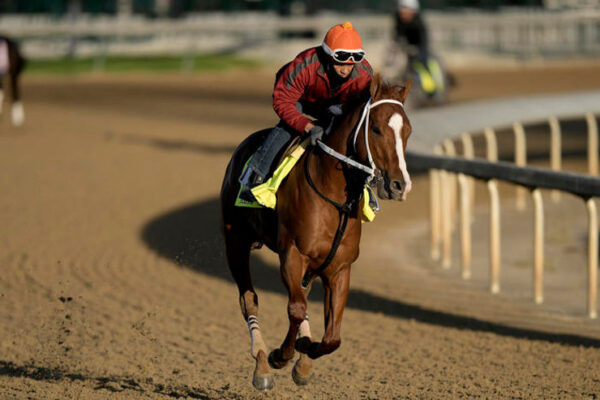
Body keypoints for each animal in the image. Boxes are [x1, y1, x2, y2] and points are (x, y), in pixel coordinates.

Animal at [220, 76, 412, 392]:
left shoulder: (339, 267)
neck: (334, 197)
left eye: (407, 130)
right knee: (249, 299)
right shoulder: (292, 254)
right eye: (376, 128)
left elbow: (332, 337)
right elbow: (296, 309)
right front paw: (280, 356)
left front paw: (305, 354)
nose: (400, 185)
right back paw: (261, 364)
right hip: (235, 241)